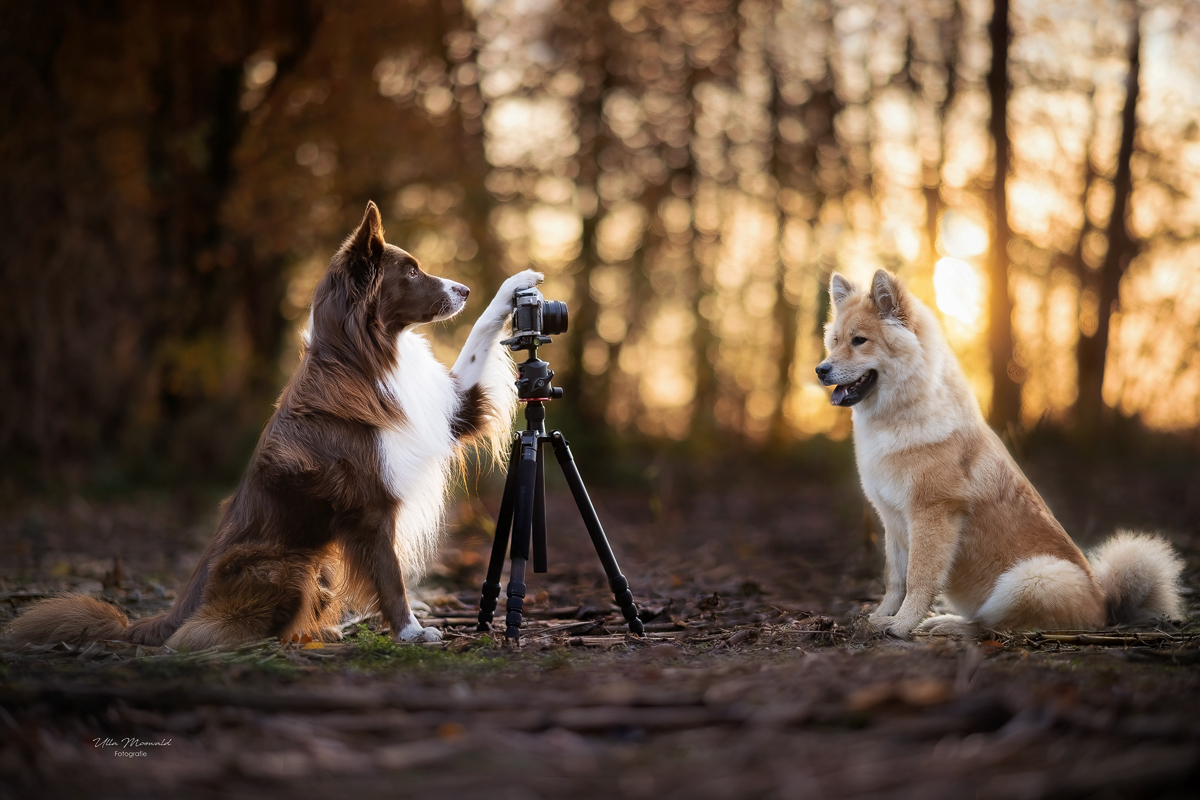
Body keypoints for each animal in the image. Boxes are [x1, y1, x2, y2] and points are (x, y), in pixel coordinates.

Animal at [816, 268, 1180, 638]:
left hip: (1029, 579)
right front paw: (880, 617)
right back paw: (943, 621)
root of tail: (1105, 606)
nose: (821, 369)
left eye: (859, 341)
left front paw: (902, 624)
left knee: (992, 625)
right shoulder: (892, 519)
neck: (898, 417)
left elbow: (919, 578)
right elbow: (895, 579)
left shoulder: (931, 514)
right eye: (835, 341)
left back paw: (948, 626)